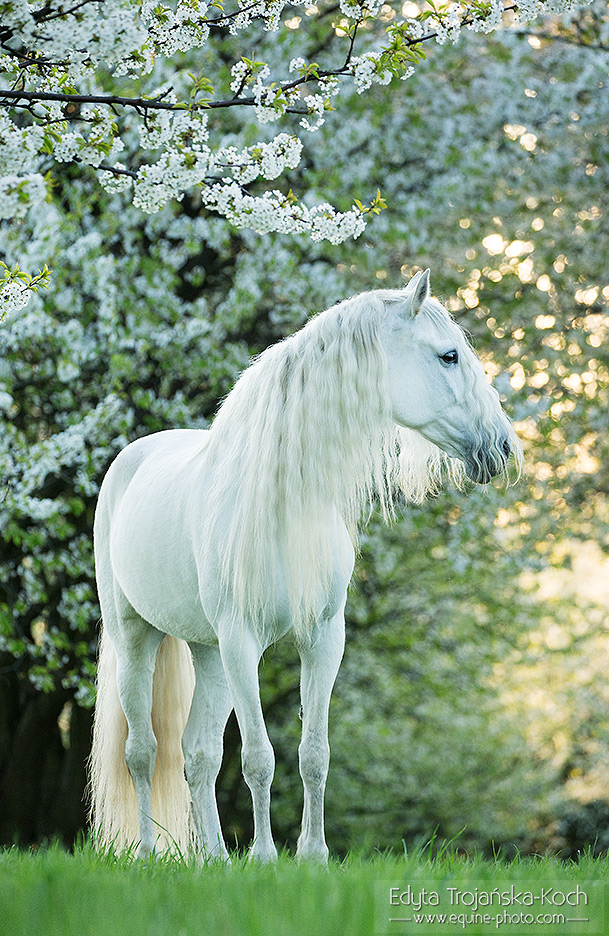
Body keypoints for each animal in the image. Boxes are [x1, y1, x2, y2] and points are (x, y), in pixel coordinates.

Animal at [88, 270, 520, 864]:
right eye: (449, 355)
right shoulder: (242, 641)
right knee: (143, 753)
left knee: (197, 755)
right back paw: (151, 854)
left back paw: (215, 859)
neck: (283, 505)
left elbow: (314, 754)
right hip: (138, 639)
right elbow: (258, 758)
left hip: (208, 653)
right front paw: (266, 858)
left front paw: (313, 856)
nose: (502, 446)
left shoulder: (322, 639)